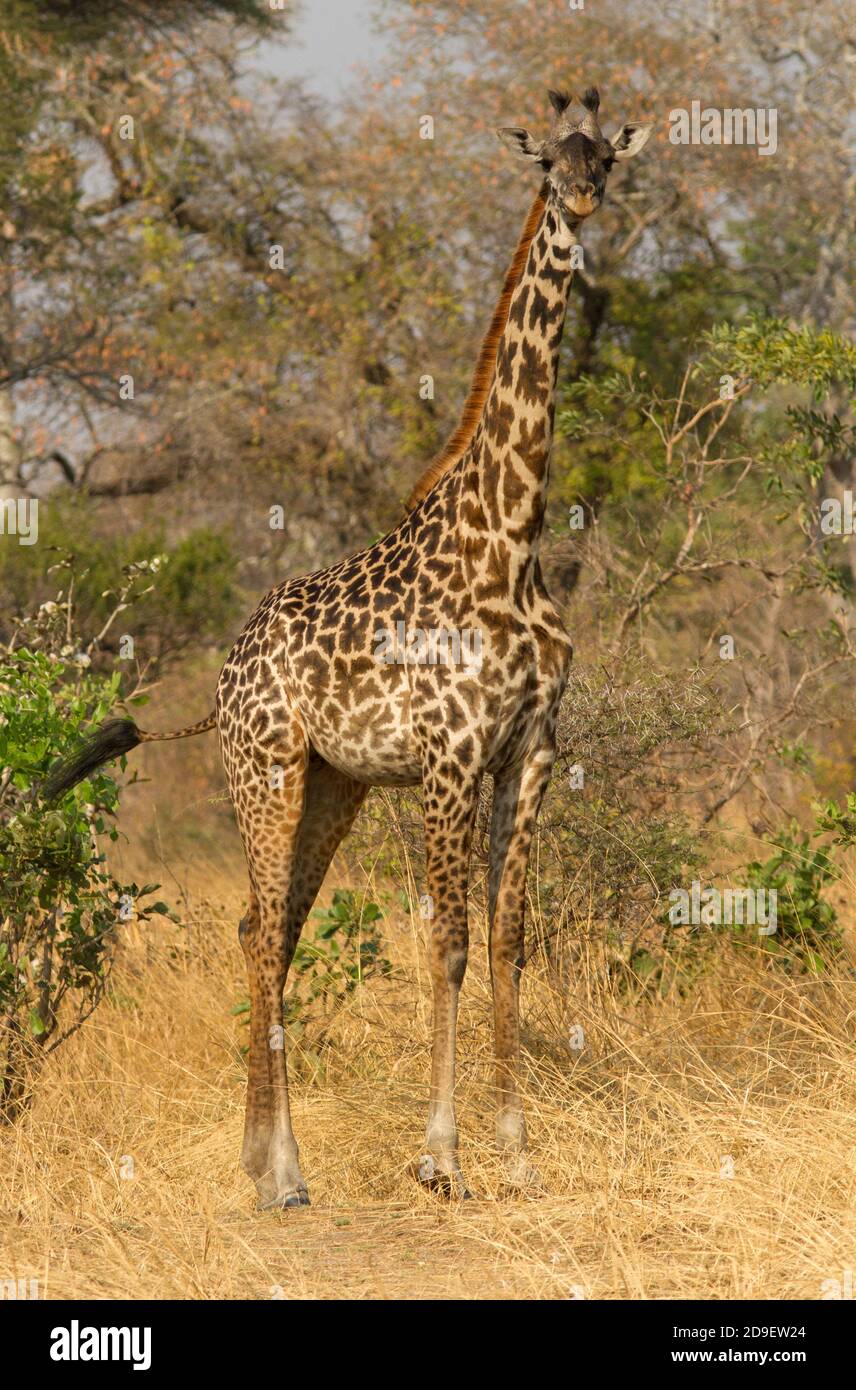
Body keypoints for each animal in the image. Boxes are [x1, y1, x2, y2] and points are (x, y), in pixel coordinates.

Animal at [45, 92, 647, 1212]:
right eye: (548, 162)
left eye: (608, 160)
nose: (584, 198)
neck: (512, 538)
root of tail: (225, 672)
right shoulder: (451, 757)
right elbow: (447, 945)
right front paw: (441, 1159)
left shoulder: (533, 749)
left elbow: (510, 939)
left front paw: (519, 1153)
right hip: (265, 771)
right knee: (260, 927)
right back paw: (279, 1174)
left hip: (337, 783)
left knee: (266, 926)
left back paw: (267, 1161)